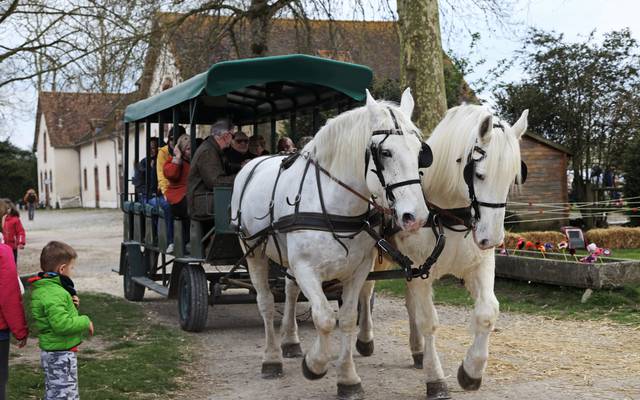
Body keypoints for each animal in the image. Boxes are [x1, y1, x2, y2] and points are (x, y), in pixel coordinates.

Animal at [231, 89, 430, 398]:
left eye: (420, 151)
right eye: (385, 152)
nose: (415, 216)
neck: (335, 204)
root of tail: (252, 164)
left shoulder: (358, 268)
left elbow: (346, 318)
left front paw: (347, 378)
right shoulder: (306, 268)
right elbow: (324, 317)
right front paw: (315, 364)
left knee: (289, 291)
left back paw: (290, 341)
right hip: (253, 251)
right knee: (265, 301)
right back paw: (272, 358)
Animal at [356, 104, 528, 398]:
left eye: (511, 179)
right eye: (479, 174)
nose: (491, 239)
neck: (446, 215)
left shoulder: (478, 266)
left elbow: (487, 313)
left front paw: (471, 372)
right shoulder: (420, 271)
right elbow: (429, 321)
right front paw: (435, 379)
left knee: (408, 303)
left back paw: (417, 351)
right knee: (366, 293)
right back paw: (365, 340)